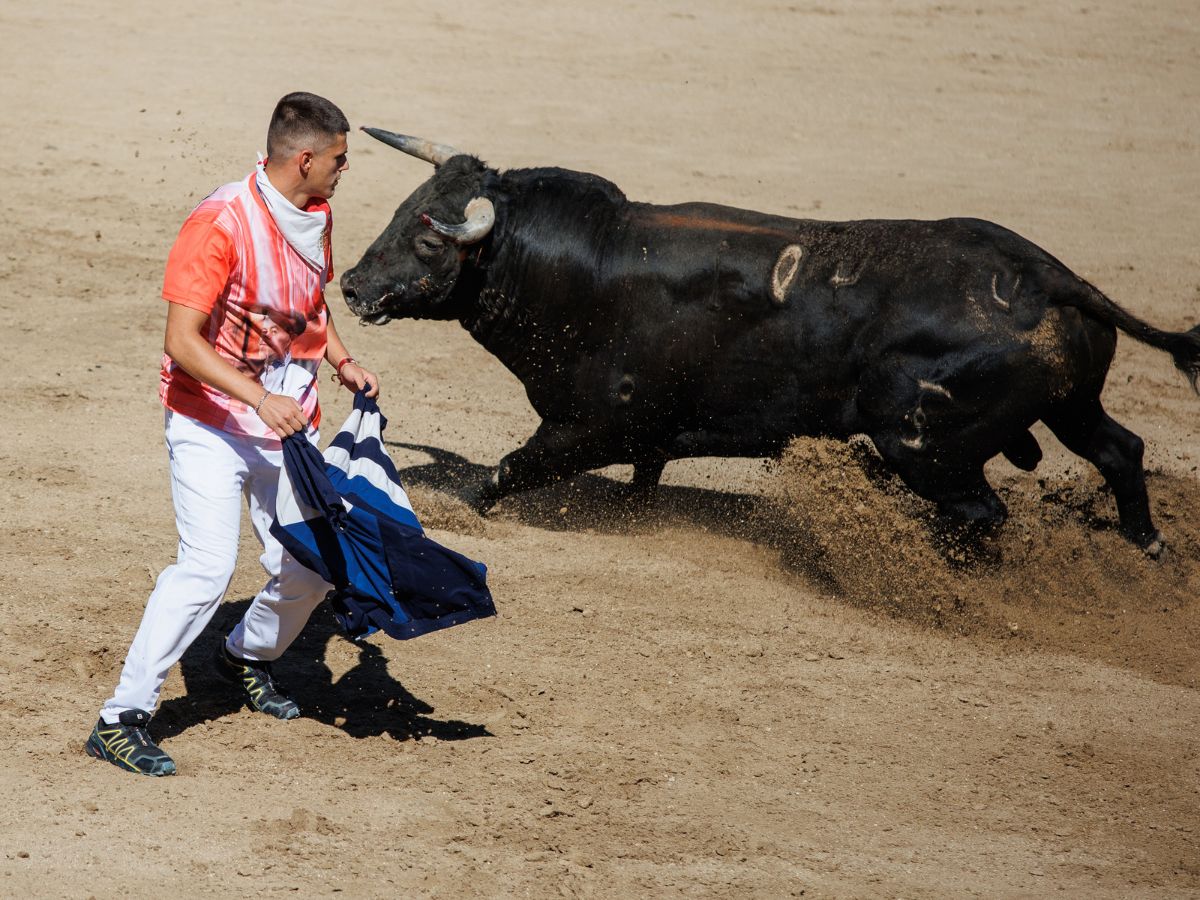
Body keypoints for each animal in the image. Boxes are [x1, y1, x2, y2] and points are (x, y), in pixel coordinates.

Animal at [338, 131, 1200, 556]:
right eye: (405, 207)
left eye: (427, 241)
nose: (349, 285)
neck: (582, 263)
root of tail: (1050, 275)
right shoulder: (641, 437)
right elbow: (638, 480)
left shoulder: (593, 425)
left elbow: (505, 472)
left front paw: (446, 511)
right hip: (1070, 403)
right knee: (1119, 449)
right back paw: (1146, 547)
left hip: (924, 444)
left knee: (980, 512)